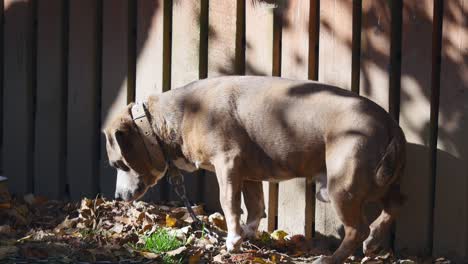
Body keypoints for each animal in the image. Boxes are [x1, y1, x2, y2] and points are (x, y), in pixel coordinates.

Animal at [102, 75, 406, 262]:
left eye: (119, 164)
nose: (117, 197)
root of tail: (390, 123)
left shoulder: (228, 164)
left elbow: (230, 204)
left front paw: (233, 239)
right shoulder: (248, 174)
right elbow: (256, 206)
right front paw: (247, 233)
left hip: (343, 186)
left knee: (357, 229)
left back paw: (329, 259)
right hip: (383, 183)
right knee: (392, 208)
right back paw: (374, 241)